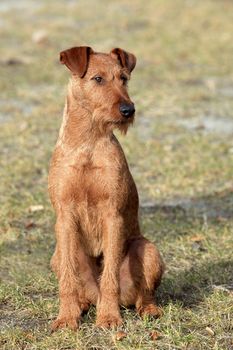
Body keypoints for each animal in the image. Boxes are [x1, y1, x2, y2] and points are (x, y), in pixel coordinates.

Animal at [47, 46, 164, 330]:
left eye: (124, 78)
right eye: (97, 79)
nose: (128, 109)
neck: (88, 143)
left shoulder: (113, 215)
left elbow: (110, 275)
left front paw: (109, 318)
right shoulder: (65, 215)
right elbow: (68, 279)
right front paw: (65, 318)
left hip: (148, 250)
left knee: (144, 294)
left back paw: (147, 310)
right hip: (57, 254)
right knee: (78, 286)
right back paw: (80, 305)